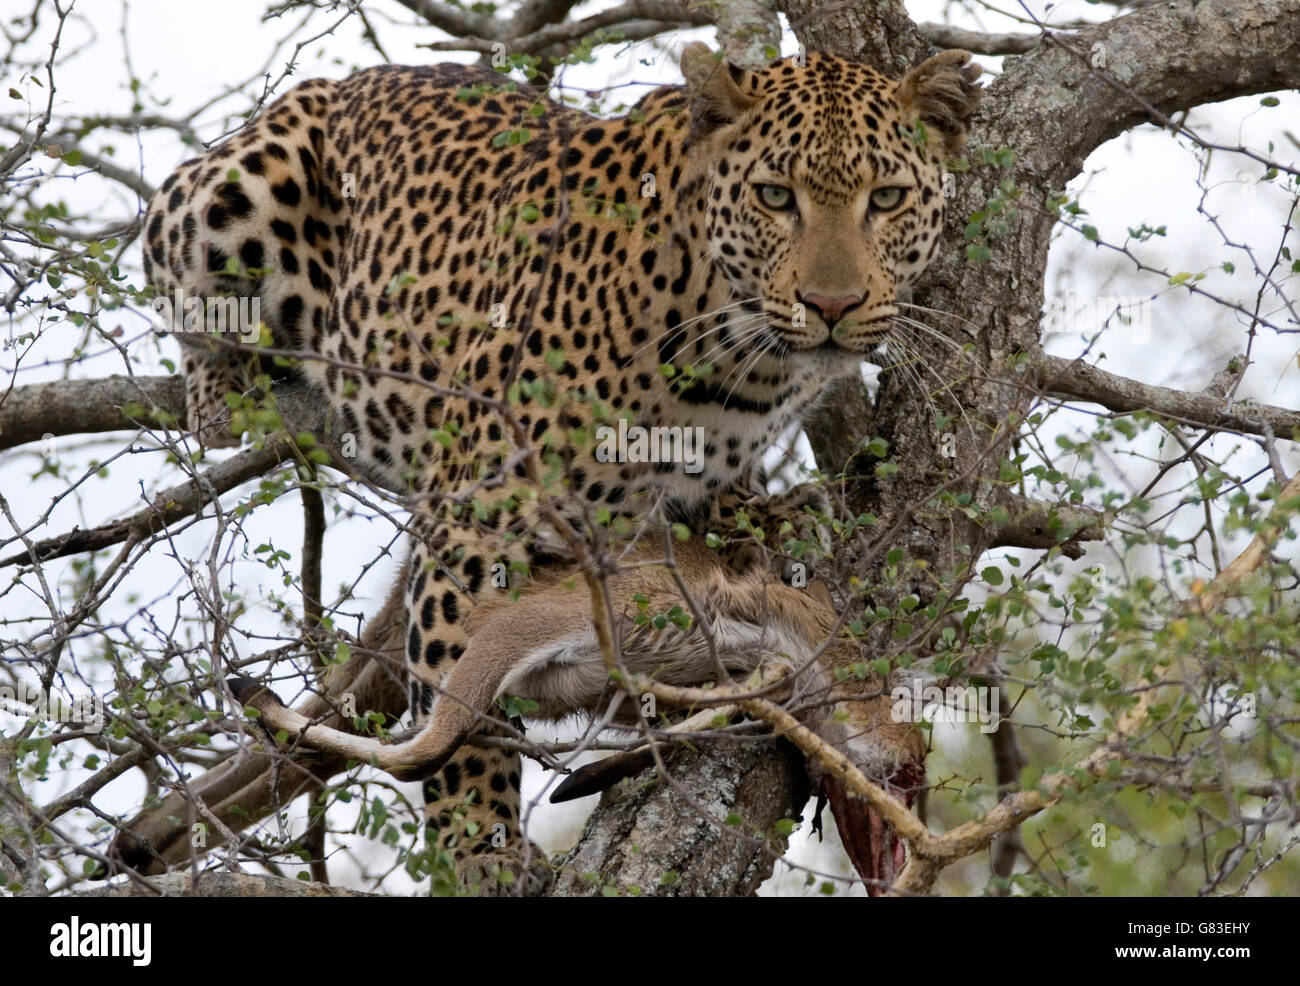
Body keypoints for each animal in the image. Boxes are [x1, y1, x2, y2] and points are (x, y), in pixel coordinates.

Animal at [139, 38, 977, 889]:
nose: (833, 306)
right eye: (776, 197)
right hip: (225, 196)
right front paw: (478, 854)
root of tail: (345, 80)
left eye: (887, 198)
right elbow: (460, 725)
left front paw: (768, 517)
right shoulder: (478, 523)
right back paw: (219, 391)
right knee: (178, 283)